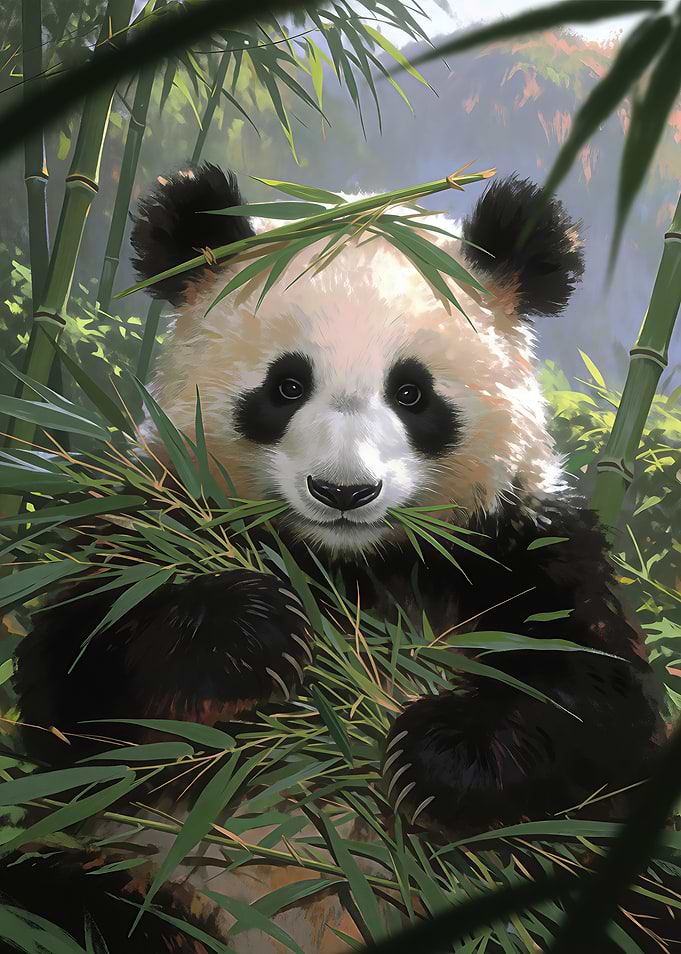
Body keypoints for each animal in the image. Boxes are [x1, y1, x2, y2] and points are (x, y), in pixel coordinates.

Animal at [0, 163, 671, 953]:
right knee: (61, 905)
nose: (343, 491)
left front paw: (434, 756)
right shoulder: (150, 516)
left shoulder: (516, 537)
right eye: (286, 386)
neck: (350, 565)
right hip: (126, 867)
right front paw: (249, 633)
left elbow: (601, 703)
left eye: (412, 393)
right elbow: (72, 682)